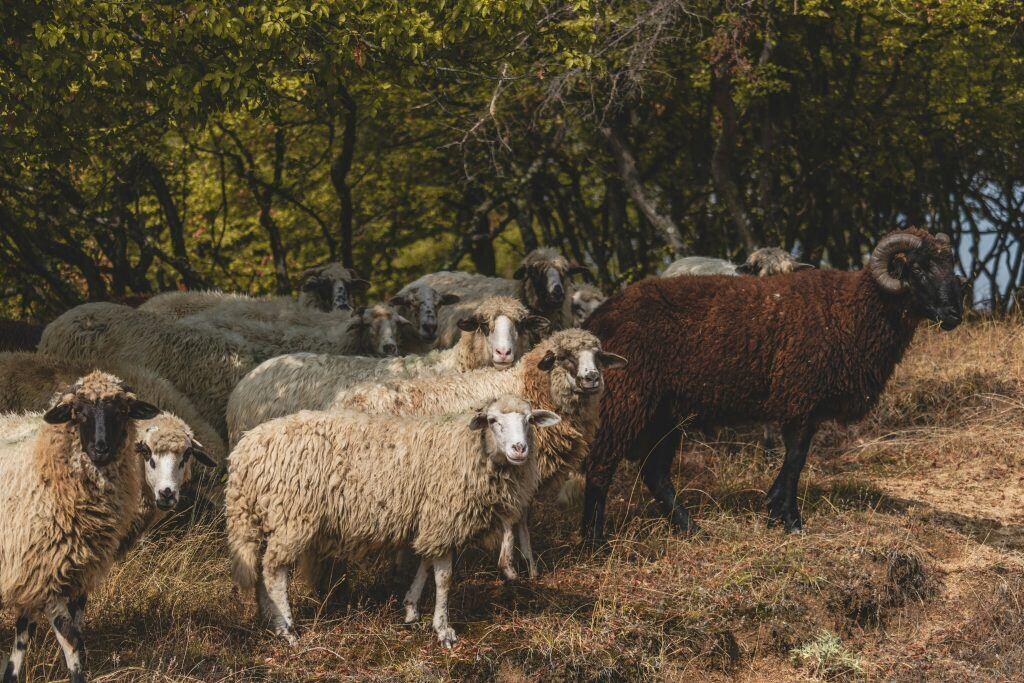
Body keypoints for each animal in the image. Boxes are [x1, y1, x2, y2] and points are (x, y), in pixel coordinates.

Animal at [0, 372, 160, 683]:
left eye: (122, 411)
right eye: (78, 412)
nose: (101, 448)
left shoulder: (52, 574)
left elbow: (28, 631)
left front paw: (11, 674)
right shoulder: (43, 574)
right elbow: (72, 641)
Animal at [225, 395, 561, 647]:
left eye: (529, 421)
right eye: (493, 421)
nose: (520, 449)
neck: (468, 448)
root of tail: (244, 452)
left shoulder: (430, 517)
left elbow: (425, 562)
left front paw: (411, 608)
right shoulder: (443, 515)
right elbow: (444, 575)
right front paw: (443, 629)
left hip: (266, 516)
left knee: (260, 569)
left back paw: (269, 619)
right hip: (292, 516)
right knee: (274, 571)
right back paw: (287, 629)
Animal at [329, 329, 626, 581]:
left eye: (598, 356)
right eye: (564, 357)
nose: (592, 378)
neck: (529, 386)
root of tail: (342, 398)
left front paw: (526, 566)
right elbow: (518, 519)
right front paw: (518, 566)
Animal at [581, 229, 963, 542]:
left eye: (949, 266)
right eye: (918, 269)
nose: (954, 315)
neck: (854, 310)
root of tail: (599, 317)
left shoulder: (807, 406)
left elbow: (796, 461)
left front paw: (774, 511)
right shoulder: (800, 396)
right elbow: (794, 461)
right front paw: (791, 521)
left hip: (664, 412)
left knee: (654, 472)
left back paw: (692, 530)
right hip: (625, 398)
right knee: (601, 464)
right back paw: (594, 541)